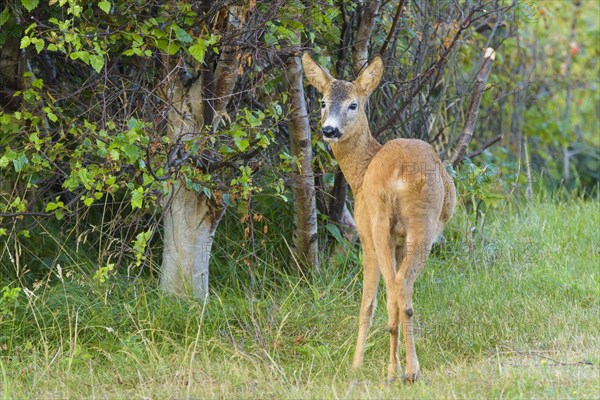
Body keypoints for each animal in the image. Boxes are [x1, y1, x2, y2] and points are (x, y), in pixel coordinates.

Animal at [302, 53, 458, 382]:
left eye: (353, 104)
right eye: (322, 102)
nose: (329, 130)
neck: (360, 173)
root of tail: (398, 172)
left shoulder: (364, 233)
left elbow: (366, 303)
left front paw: (356, 363)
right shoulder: (395, 240)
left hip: (384, 225)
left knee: (394, 291)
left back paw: (400, 370)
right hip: (413, 226)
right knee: (400, 290)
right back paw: (403, 369)